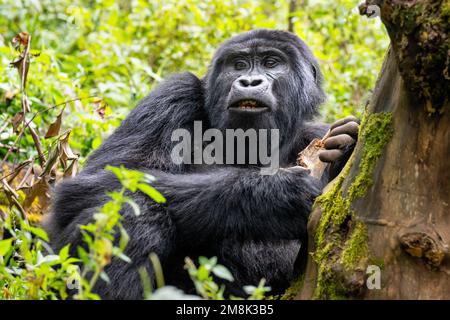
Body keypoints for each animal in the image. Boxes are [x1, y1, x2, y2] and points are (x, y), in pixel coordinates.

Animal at [44, 28, 358, 298]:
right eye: (239, 64)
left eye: (272, 62)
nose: (249, 82)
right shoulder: (174, 94)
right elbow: (98, 183)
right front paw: (274, 195)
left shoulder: (315, 133)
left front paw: (343, 152)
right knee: (133, 207)